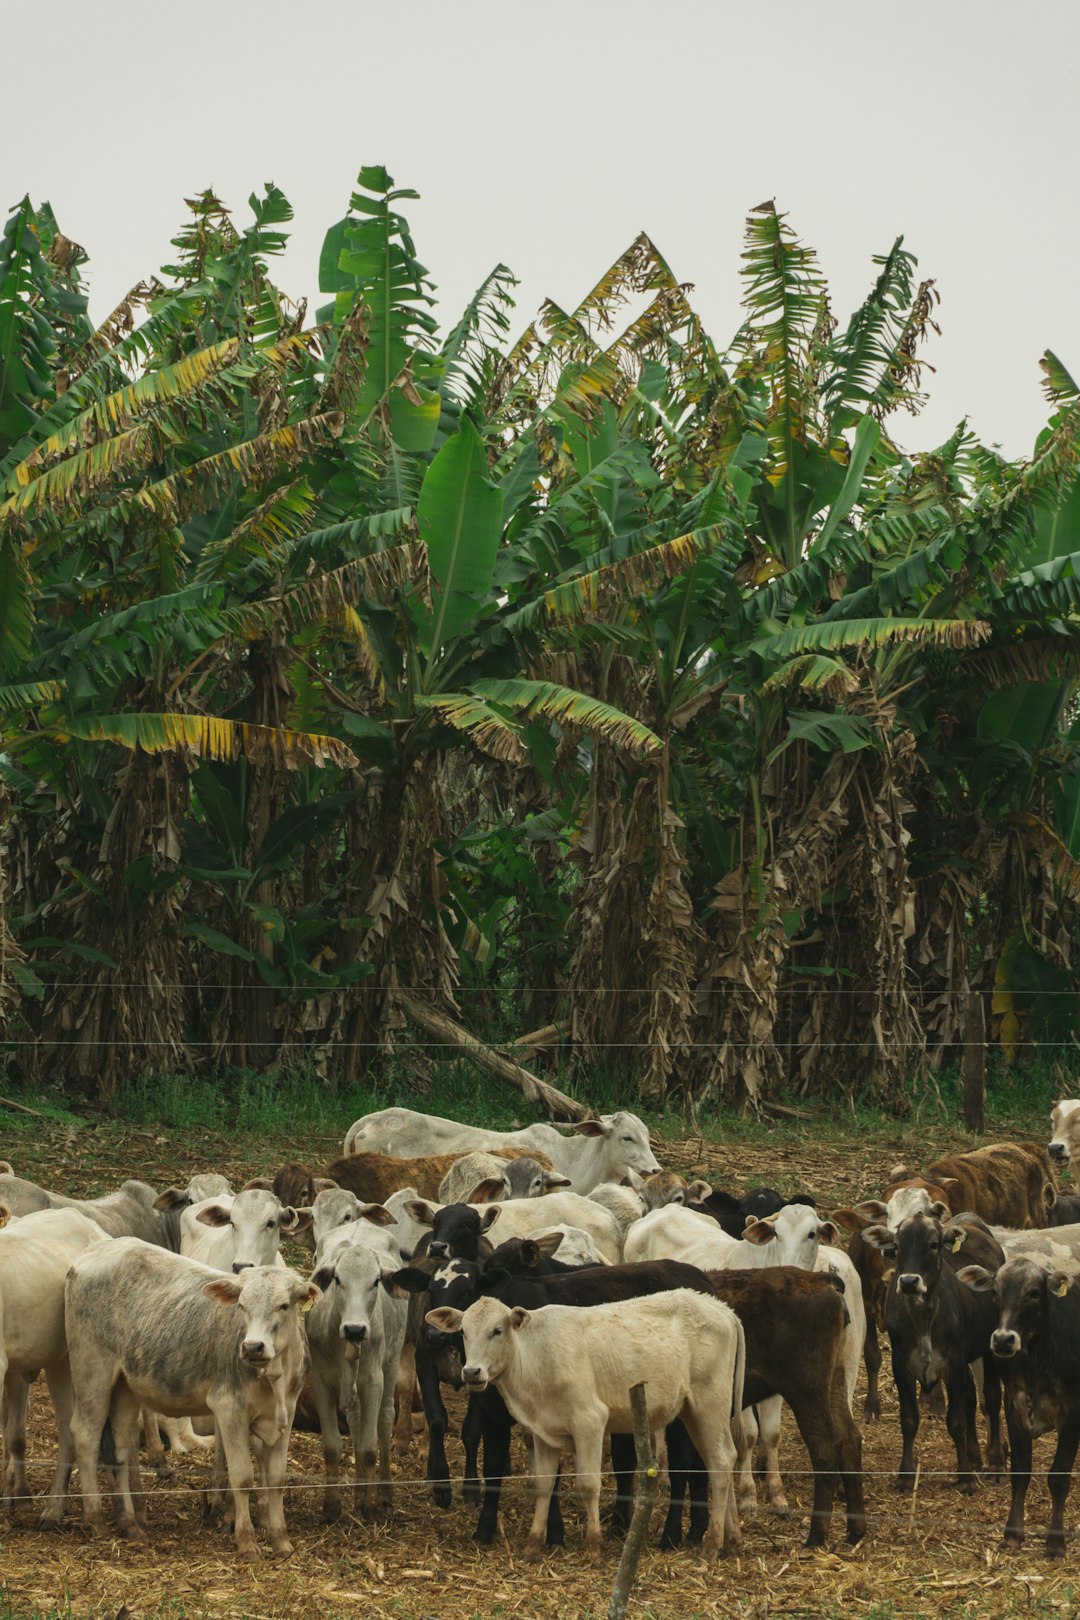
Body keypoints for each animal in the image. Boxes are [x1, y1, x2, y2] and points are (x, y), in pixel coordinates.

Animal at [65, 1237, 317, 1555]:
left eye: (284, 1305)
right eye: (242, 1306)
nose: (252, 1347)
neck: (275, 1377)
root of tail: (97, 1248)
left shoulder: (286, 1414)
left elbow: (276, 1478)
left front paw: (281, 1541)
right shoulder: (229, 1409)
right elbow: (242, 1476)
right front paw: (246, 1541)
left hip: (124, 1386)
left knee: (120, 1448)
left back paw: (130, 1524)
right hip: (92, 1373)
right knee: (85, 1436)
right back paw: (96, 1519)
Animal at [427, 1283, 744, 1561]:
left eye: (497, 1330)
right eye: (463, 1332)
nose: (472, 1372)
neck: (536, 1357)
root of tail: (722, 1308)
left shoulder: (590, 1421)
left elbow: (589, 1484)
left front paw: (593, 1547)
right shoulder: (542, 1429)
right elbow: (543, 1484)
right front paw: (532, 1546)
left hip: (709, 1403)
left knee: (719, 1462)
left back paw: (711, 1547)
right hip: (694, 1411)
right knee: (724, 1459)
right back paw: (731, 1539)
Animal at [861, 1211, 1003, 1483]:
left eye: (934, 1244)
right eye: (897, 1245)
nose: (908, 1281)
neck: (924, 1316)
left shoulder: (953, 1364)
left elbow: (956, 1421)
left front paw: (965, 1478)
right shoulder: (902, 1365)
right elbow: (909, 1420)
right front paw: (905, 1476)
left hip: (990, 1348)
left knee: (991, 1397)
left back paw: (996, 1462)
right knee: (972, 1397)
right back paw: (975, 1456)